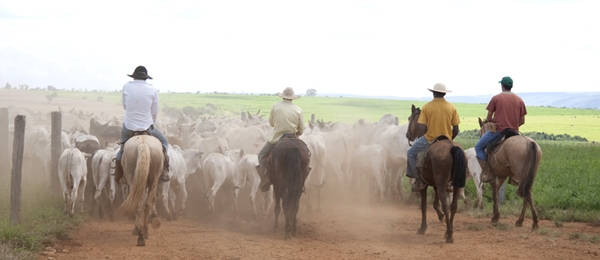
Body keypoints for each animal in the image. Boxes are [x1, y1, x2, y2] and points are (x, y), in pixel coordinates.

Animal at [406, 104, 466, 243]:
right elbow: (435, 203)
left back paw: (449, 235)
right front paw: (441, 216)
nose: (407, 135)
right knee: (453, 206)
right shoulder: (436, 185)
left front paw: (422, 228)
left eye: (409, 118)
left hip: (442, 183)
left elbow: (424, 206)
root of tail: (453, 148)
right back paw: (448, 232)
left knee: (446, 205)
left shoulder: (425, 186)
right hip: (455, 184)